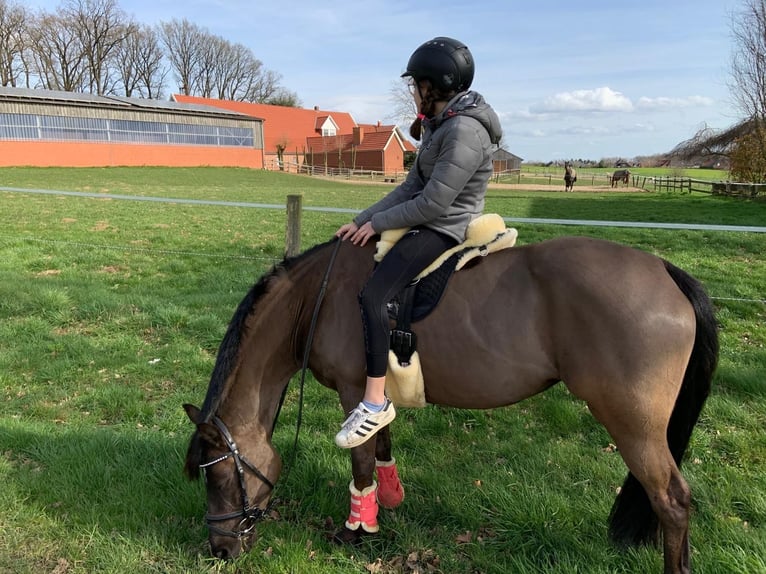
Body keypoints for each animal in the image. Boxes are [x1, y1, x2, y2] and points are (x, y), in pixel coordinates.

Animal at [184, 235, 720, 574]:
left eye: (219, 475)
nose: (220, 549)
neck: (318, 297)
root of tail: (663, 269)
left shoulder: (354, 390)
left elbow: (360, 462)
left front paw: (358, 531)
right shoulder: (375, 396)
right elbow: (381, 445)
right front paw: (387, 504)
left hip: (633, 424)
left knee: (673, 501)